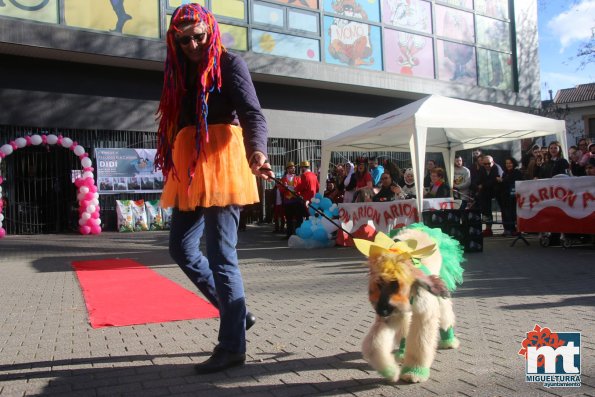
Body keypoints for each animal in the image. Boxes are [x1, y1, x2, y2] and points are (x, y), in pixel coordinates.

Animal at [354, 223, 466, 380]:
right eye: (379, 284)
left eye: (396, 284)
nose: (382, 311)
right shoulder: (391, 317)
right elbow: (374, 345)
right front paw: (389, 371)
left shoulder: (424, 314)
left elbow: (421, 342)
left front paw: (415, 372)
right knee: (404, 329)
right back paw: (401, 354)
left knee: (445, 316)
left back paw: (449, 341)